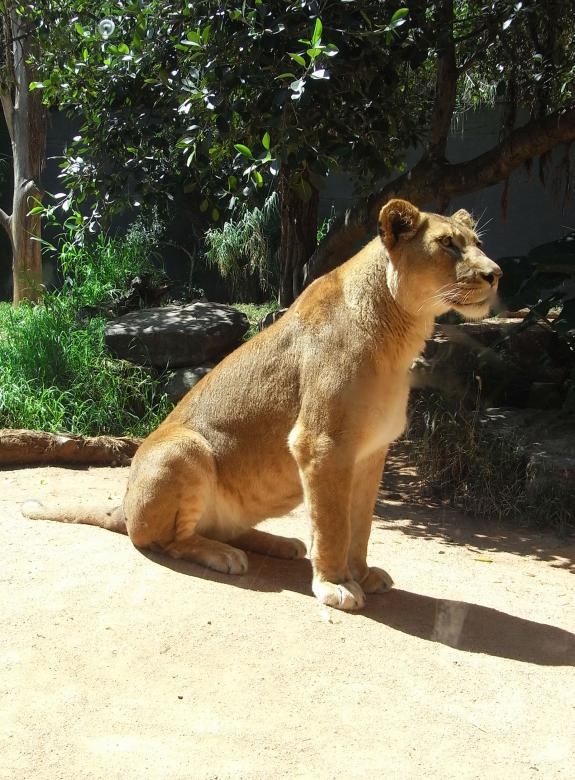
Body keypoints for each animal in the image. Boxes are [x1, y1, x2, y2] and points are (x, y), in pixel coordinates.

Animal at [23, 199, 501, 611]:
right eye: (447, 244)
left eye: (477, 242)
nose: (496, 273)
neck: (401, 334)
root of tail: (122, 506)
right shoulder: (322, 445)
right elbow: (332, 523)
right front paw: (335, 585)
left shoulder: (372, 453)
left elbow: (361, 524)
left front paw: (361, 574)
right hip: (182, 448)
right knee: (166, 540)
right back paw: (224, 555)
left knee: (225, 528)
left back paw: (280, 544)